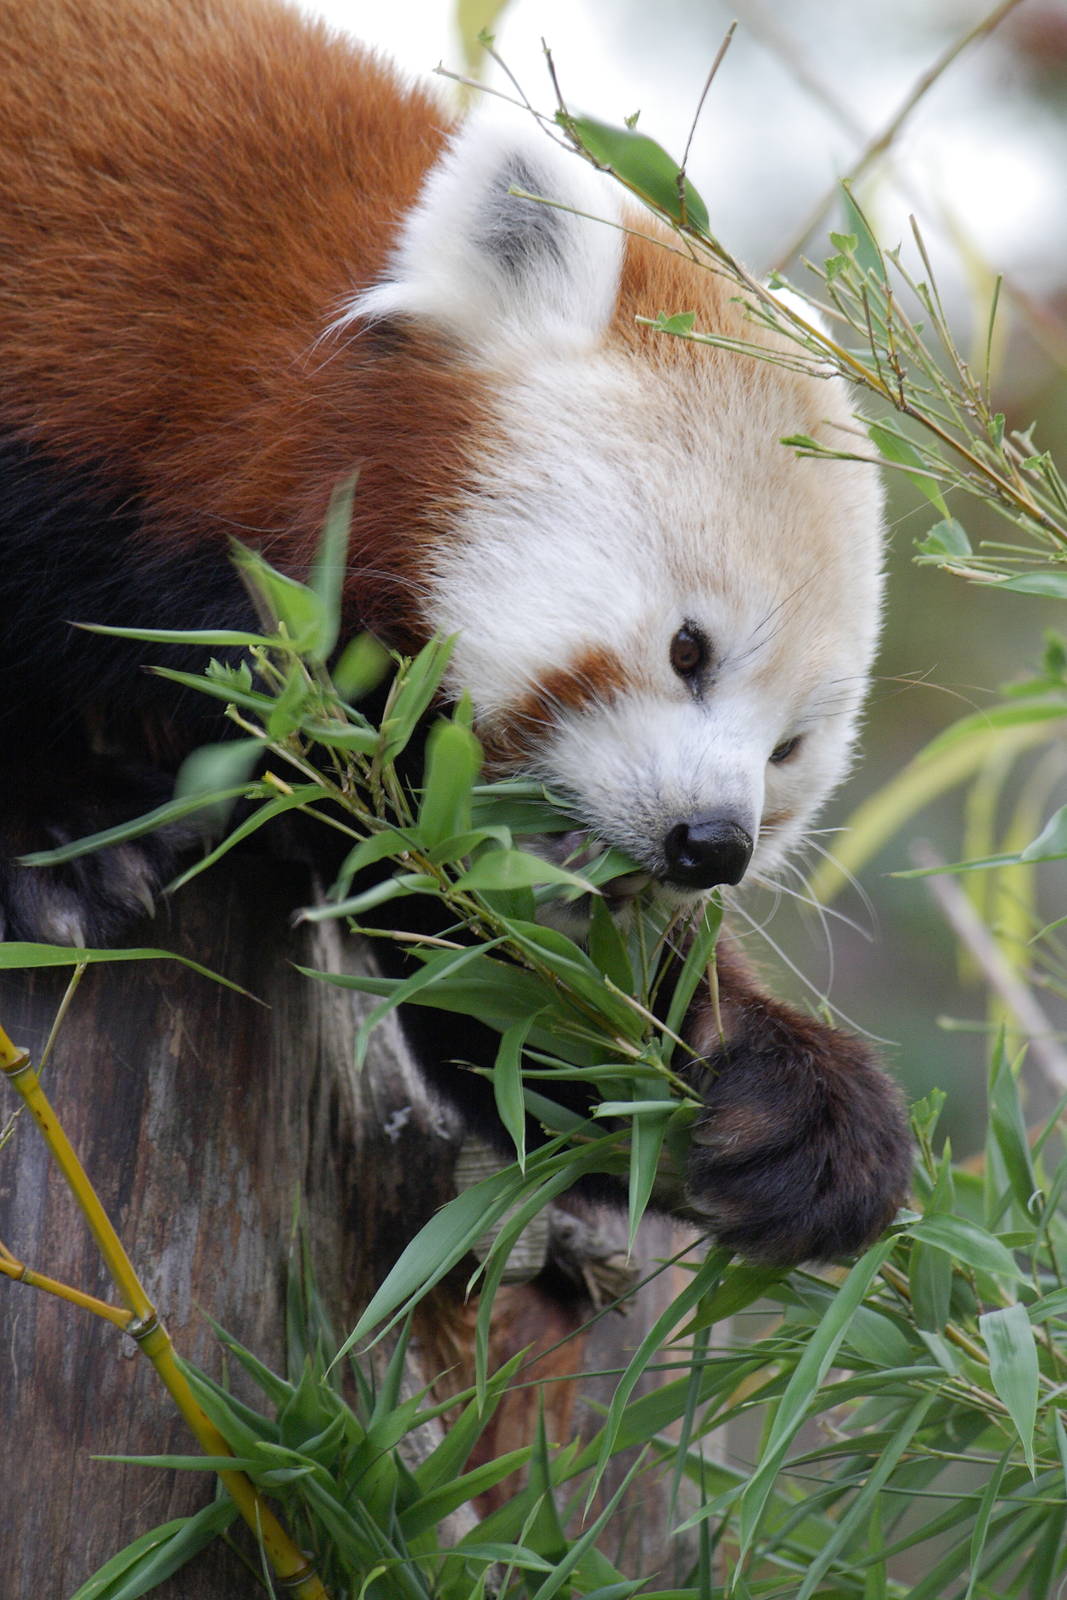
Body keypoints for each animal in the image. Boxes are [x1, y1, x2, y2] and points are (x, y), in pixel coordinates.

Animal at [0, 0, 910, 1265]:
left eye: (787, 752)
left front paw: (781, 1100)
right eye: (687, 650)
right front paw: (57, 826)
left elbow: (486, 966)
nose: (709, 845)